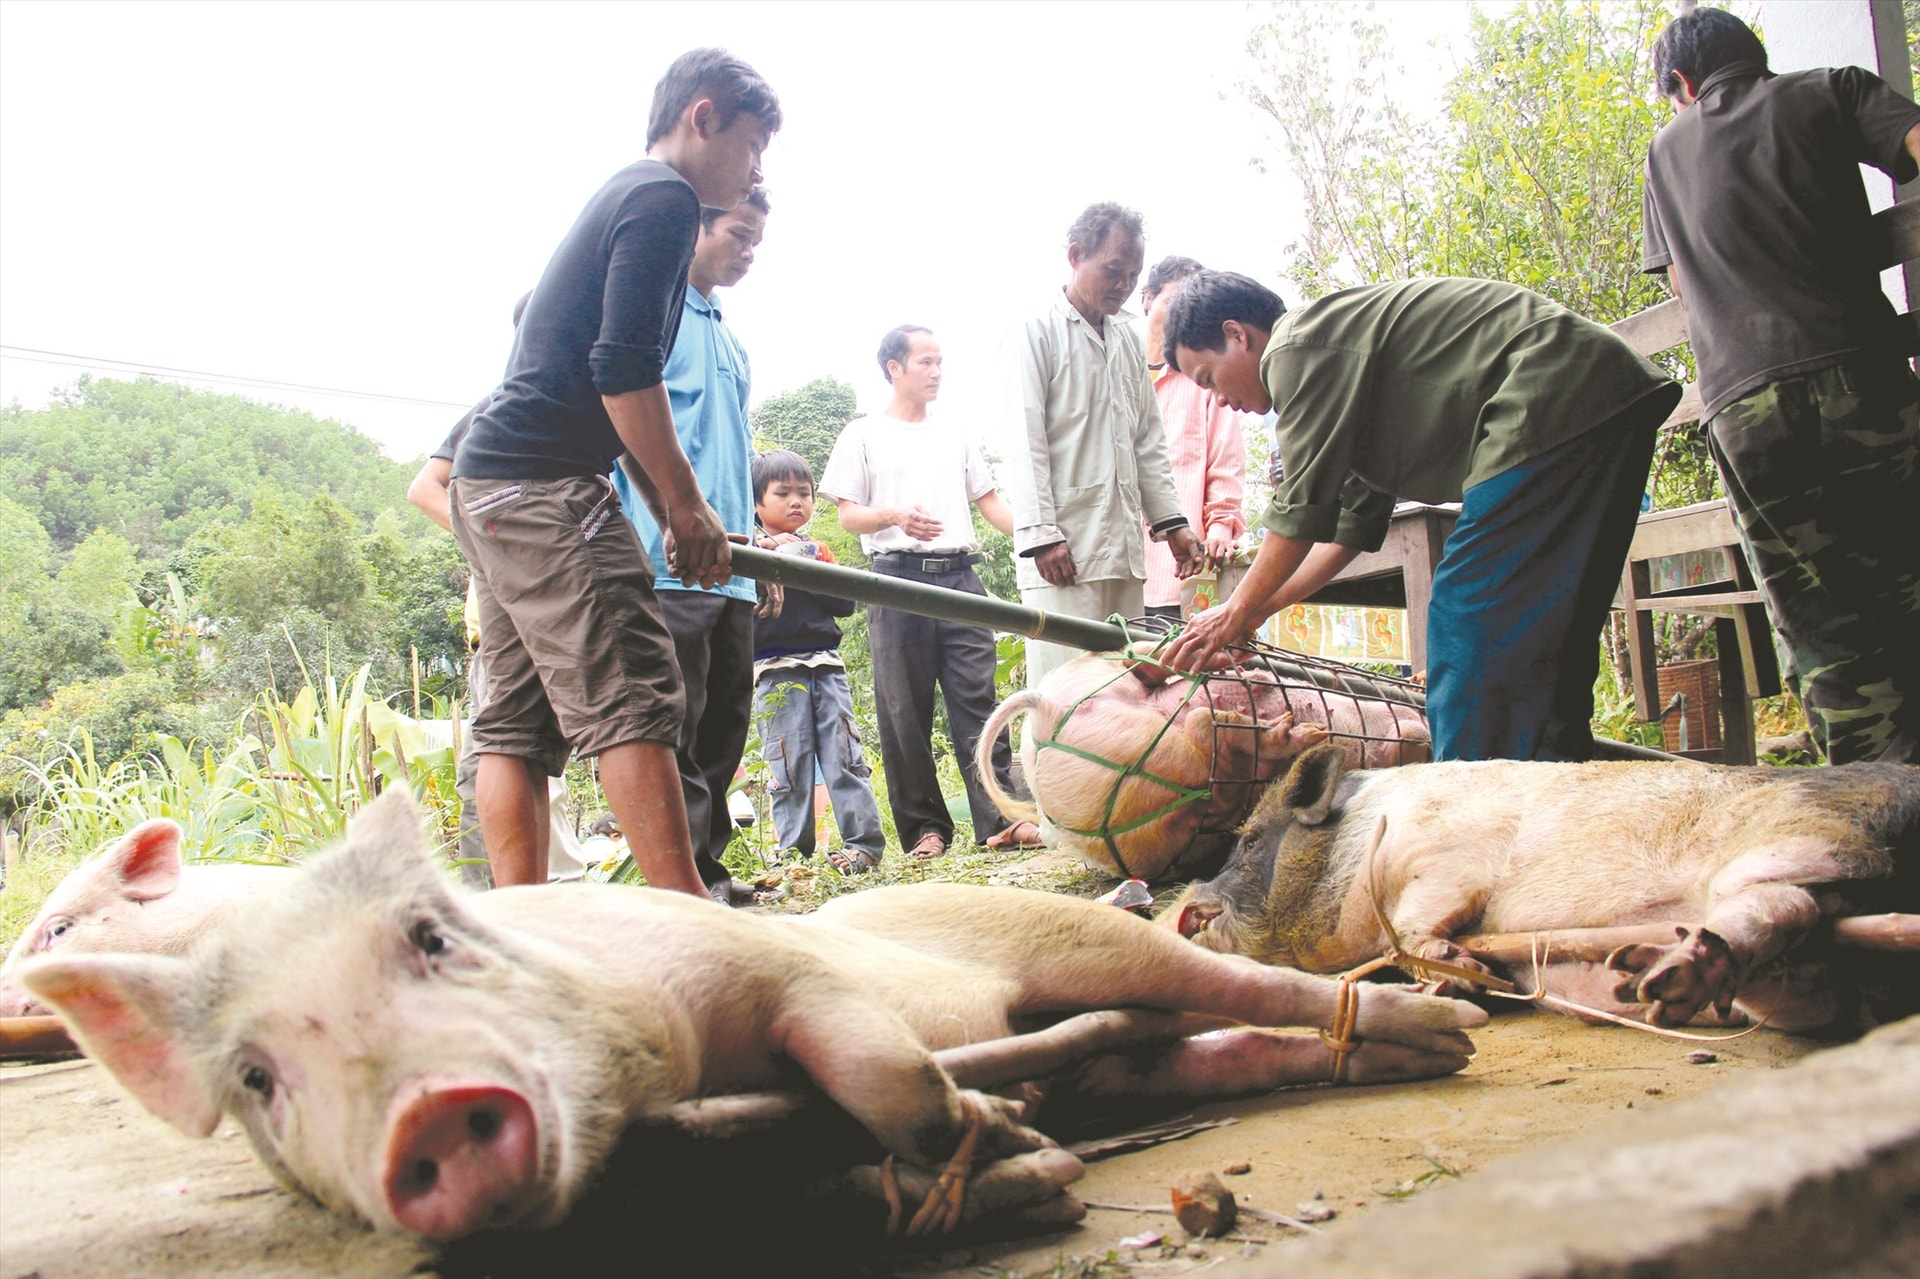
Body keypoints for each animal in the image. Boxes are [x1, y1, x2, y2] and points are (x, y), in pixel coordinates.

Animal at [18, 787, 1482, 1236]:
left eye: (432, 941)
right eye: (257, 1077)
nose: (426, 1113)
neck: (669, 1087)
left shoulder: (775, 978)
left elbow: (875, 1067)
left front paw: (1009, 1138)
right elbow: (835, 1184)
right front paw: (1030, 1159)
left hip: (1074, 934)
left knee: (1246, 986)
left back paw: (1446, 1031)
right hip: (1144, 1054)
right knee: (1213, 1047)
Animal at [983, 652, 1436, 883]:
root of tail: (1046, 714)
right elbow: (1412, 741)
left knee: (1149, 682)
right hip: (1161, 775)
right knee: (1207, 738)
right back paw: (1284, 729)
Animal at [1152, 741, 1920, 1029]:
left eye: (1251, 840)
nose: (1180, 912)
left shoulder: (1449, 860)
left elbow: (1420, 924)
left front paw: (1457, 972)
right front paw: (1460, 987)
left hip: (1807, 831)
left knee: (1783, 901)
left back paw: (1660, 974)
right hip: (1809, 961)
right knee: (1799, 948)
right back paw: (1649, 984)